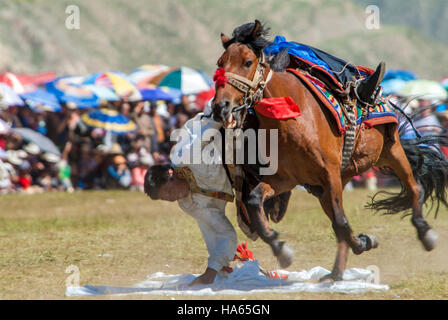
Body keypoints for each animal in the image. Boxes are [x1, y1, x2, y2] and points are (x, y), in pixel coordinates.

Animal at [211, 20, 448, 280]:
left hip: (390, 150)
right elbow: (255, 201)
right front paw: (282, 249)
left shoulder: (328, 173)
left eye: (247, 62)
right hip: (331, 184)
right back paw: (336, 272)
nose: (220, 107)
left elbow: (341, 223)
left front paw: (364, 241)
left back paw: (425, 234)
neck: (293, 117)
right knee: (338, 221)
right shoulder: (286, 179)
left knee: (414, 187)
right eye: (220, 63)